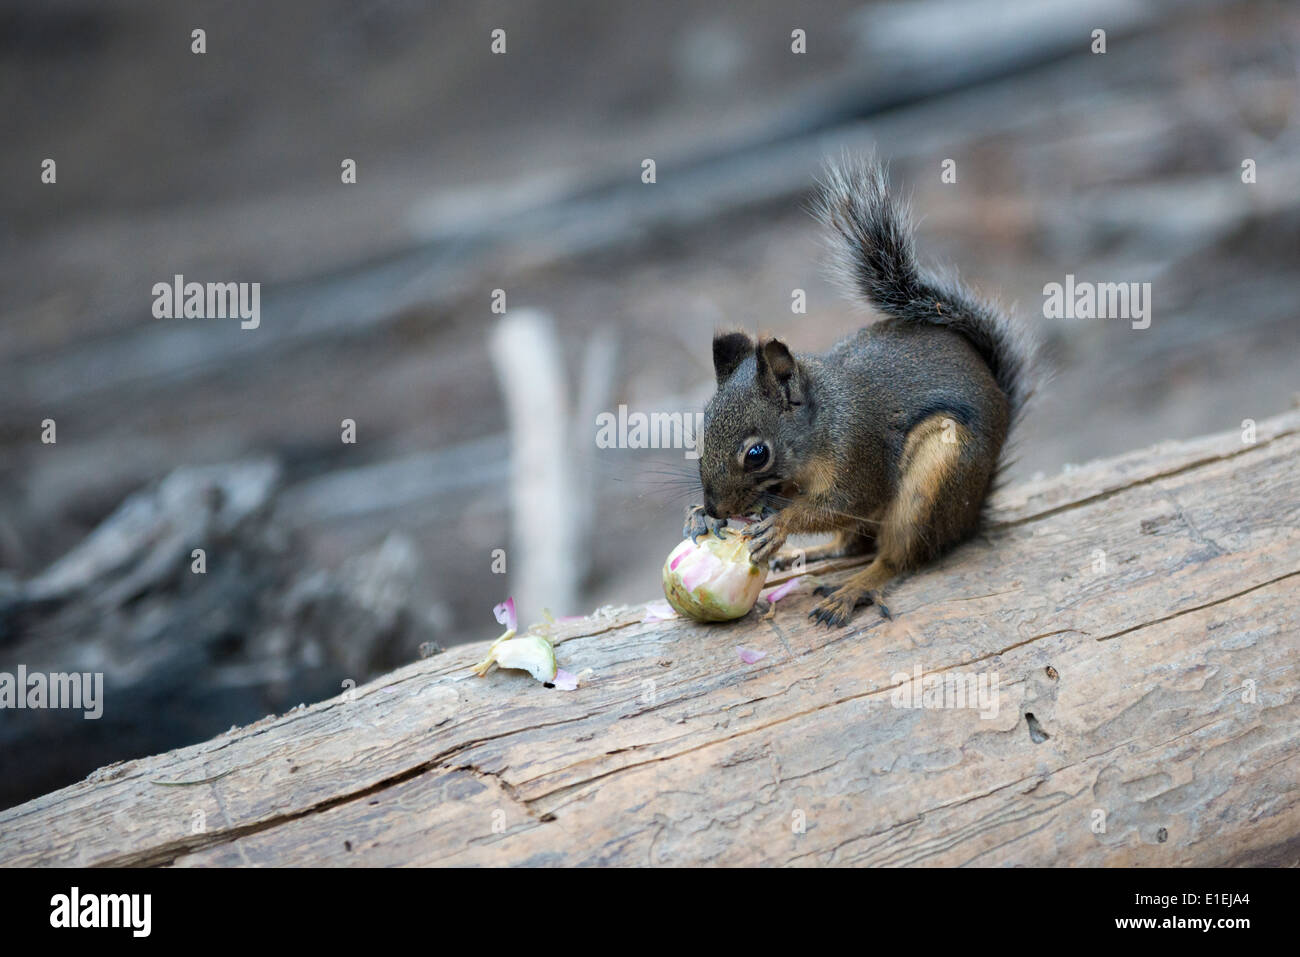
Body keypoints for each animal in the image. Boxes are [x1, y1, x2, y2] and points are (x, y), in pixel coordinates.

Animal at [681, 157, 1034, 629]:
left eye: (757, 454)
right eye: (698, 435)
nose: (717, 508)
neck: (823, 423)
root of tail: (972, 512)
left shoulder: (858, 456)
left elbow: (841, 504)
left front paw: (782, 523)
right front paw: (697, 517)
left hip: (935, 479)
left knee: (896, 557)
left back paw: (851, 590)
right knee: (853, 544)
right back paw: (809, 556)